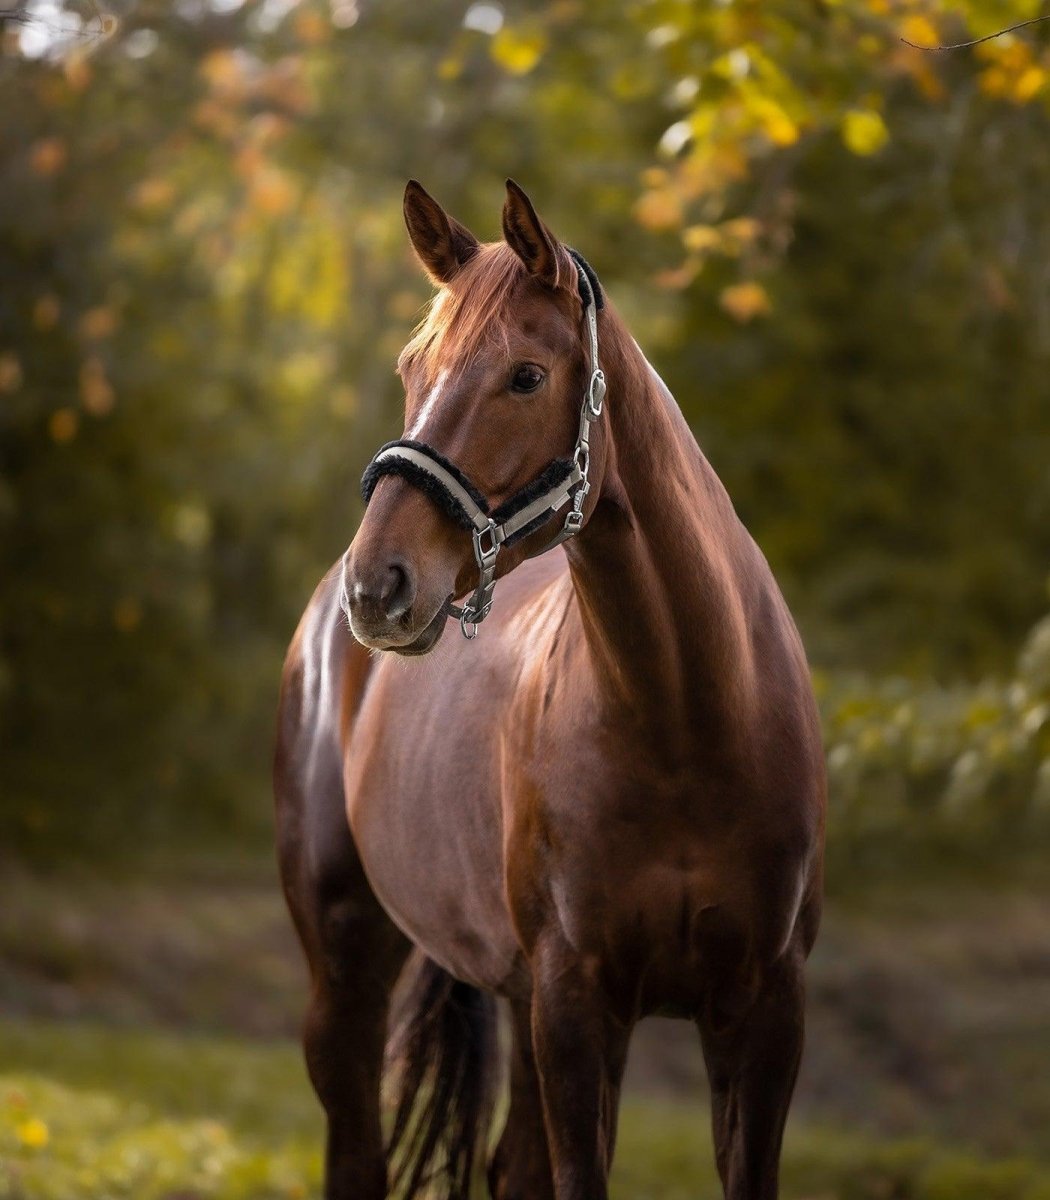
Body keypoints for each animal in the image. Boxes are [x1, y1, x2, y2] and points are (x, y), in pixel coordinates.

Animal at [274, 177, 825, 1200]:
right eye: (413, 368)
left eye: (525, 377)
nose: (381, 585)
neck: (687, 722)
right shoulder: (576, 1009)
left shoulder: (764, 1011)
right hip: (346, 972)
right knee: (358, 1154)